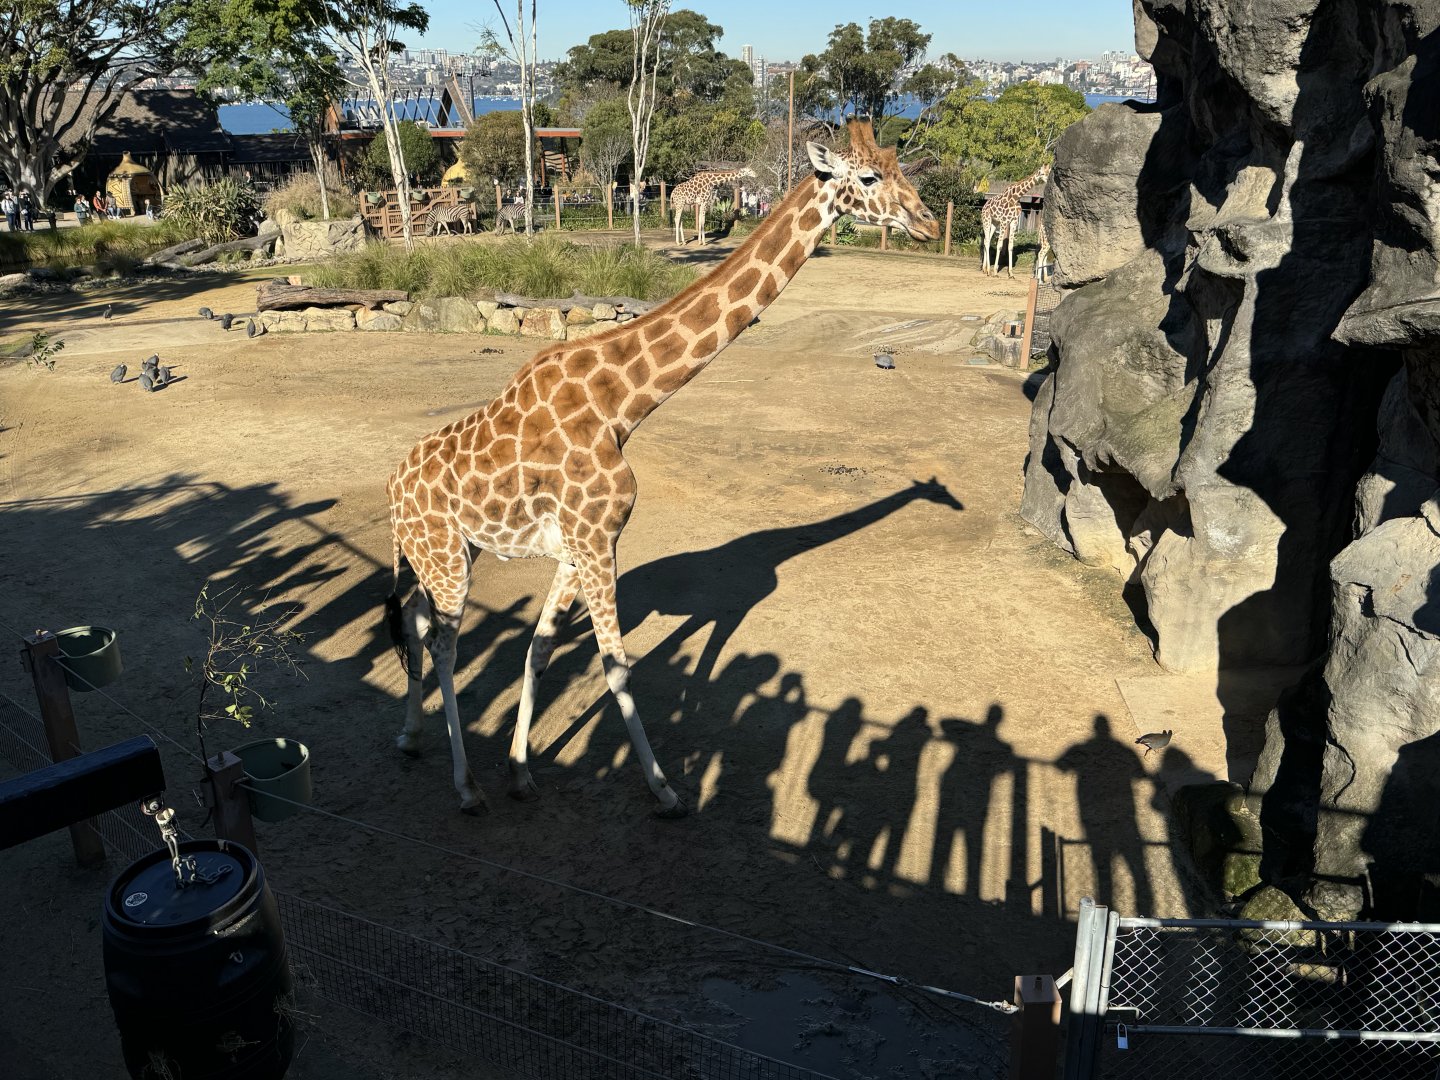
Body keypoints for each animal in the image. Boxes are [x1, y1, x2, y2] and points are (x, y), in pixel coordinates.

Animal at [384, 118, 939, 817]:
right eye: (868, 177)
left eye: (901, 168)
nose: (928, 222)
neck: (623, 406)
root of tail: (391, 485)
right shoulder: (596, 541)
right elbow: (617, 664)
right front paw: (664, 787)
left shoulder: (579, 547)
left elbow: (540, 649)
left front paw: (520, 769)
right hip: (445, 559)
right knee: (444, 642)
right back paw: (464, 785)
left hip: (452, 552)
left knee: (416, 621)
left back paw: (409, 736)